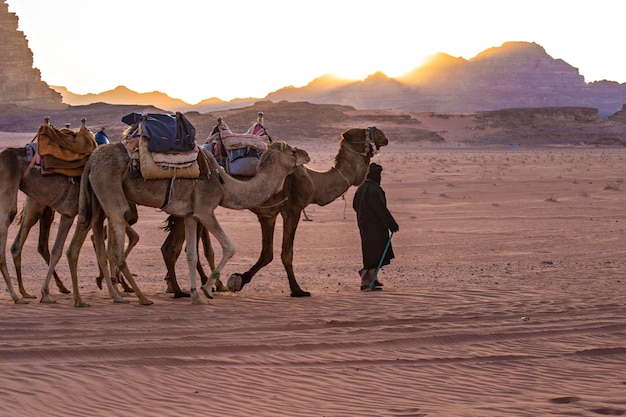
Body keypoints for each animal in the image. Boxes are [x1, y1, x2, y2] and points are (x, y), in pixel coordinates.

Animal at [62, 140, 308, 306]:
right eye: (292, 150)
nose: (307, 155)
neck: (224, 184)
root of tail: (91, 161)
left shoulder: (190, 214)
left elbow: (191, 255)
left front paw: (196, 296)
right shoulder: (205, 210)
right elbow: (230, 247)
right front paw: (208, 289)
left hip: (93, 200)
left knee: (81, 240)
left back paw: (87, 299)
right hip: (112, 196)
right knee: (115, 248)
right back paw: (140, 297)